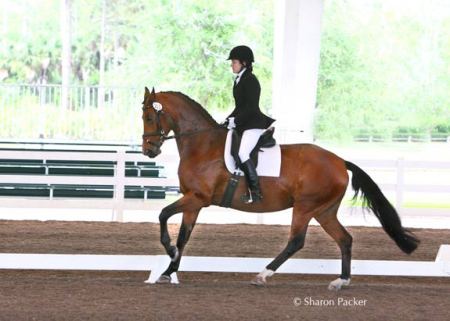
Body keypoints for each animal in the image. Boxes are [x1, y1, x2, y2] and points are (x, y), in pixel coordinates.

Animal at [141, 86, 418, 288]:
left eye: (149, 117)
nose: (148, 151)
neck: (202, 144)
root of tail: (340, 161)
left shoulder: (198, 198)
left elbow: (163, 215)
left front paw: (169, 252)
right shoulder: (193, 201)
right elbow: (183, 236)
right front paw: (169, 270)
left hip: (305, 208)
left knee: (296, 241)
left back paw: (263, 274)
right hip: (324, 211)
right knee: (345, 239)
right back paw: (341, 281)